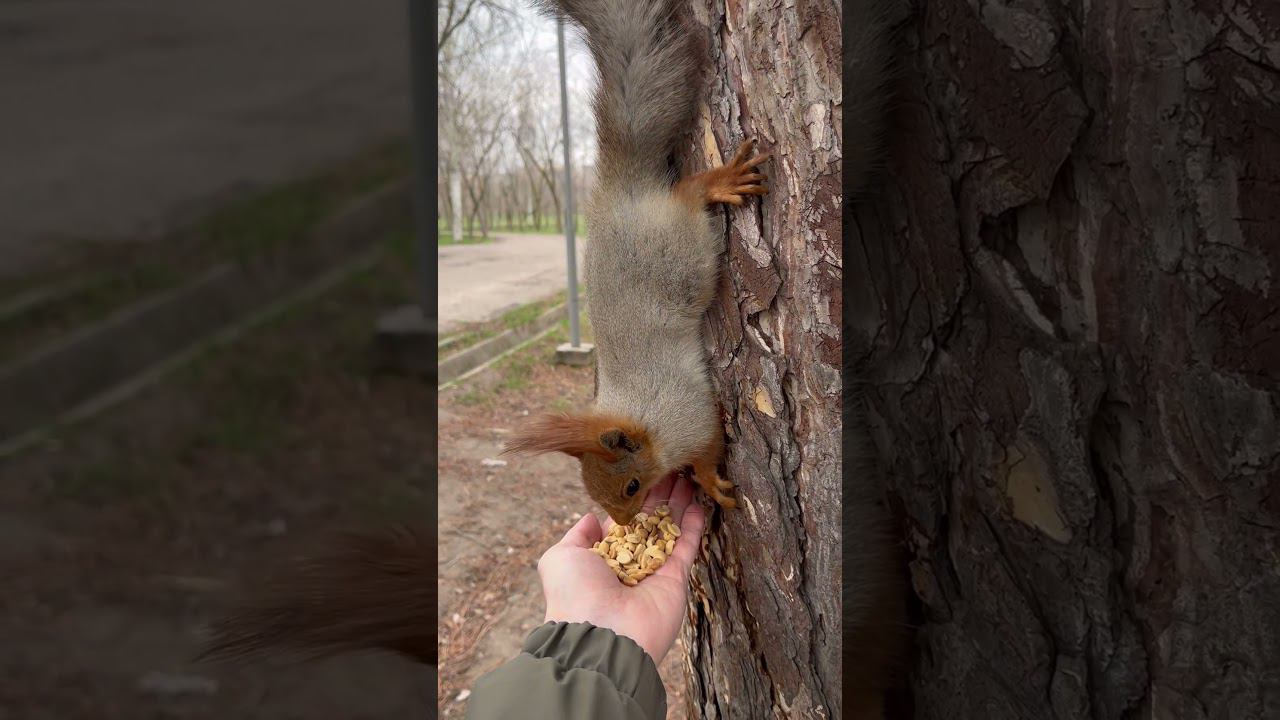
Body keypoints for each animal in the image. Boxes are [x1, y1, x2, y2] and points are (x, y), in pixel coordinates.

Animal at [502, 0, 768, 526]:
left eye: (630, 485)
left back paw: (717, 182)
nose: (623, 523)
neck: (642, 418)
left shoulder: (688, 417)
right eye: (589, 488)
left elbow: (708, 446)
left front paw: (707, 481)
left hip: (678, 249)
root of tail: (619, 192)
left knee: (688, 194)